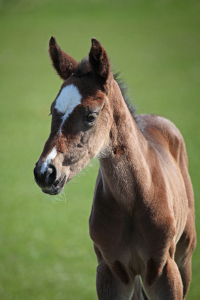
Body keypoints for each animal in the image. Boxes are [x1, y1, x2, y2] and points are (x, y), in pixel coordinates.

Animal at [33, 36, 196, 298]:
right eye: (51, 111)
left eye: (90, 115)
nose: (45, 172)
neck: (134, 199)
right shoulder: (111, 271)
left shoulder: (164, 269)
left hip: (184, 257)